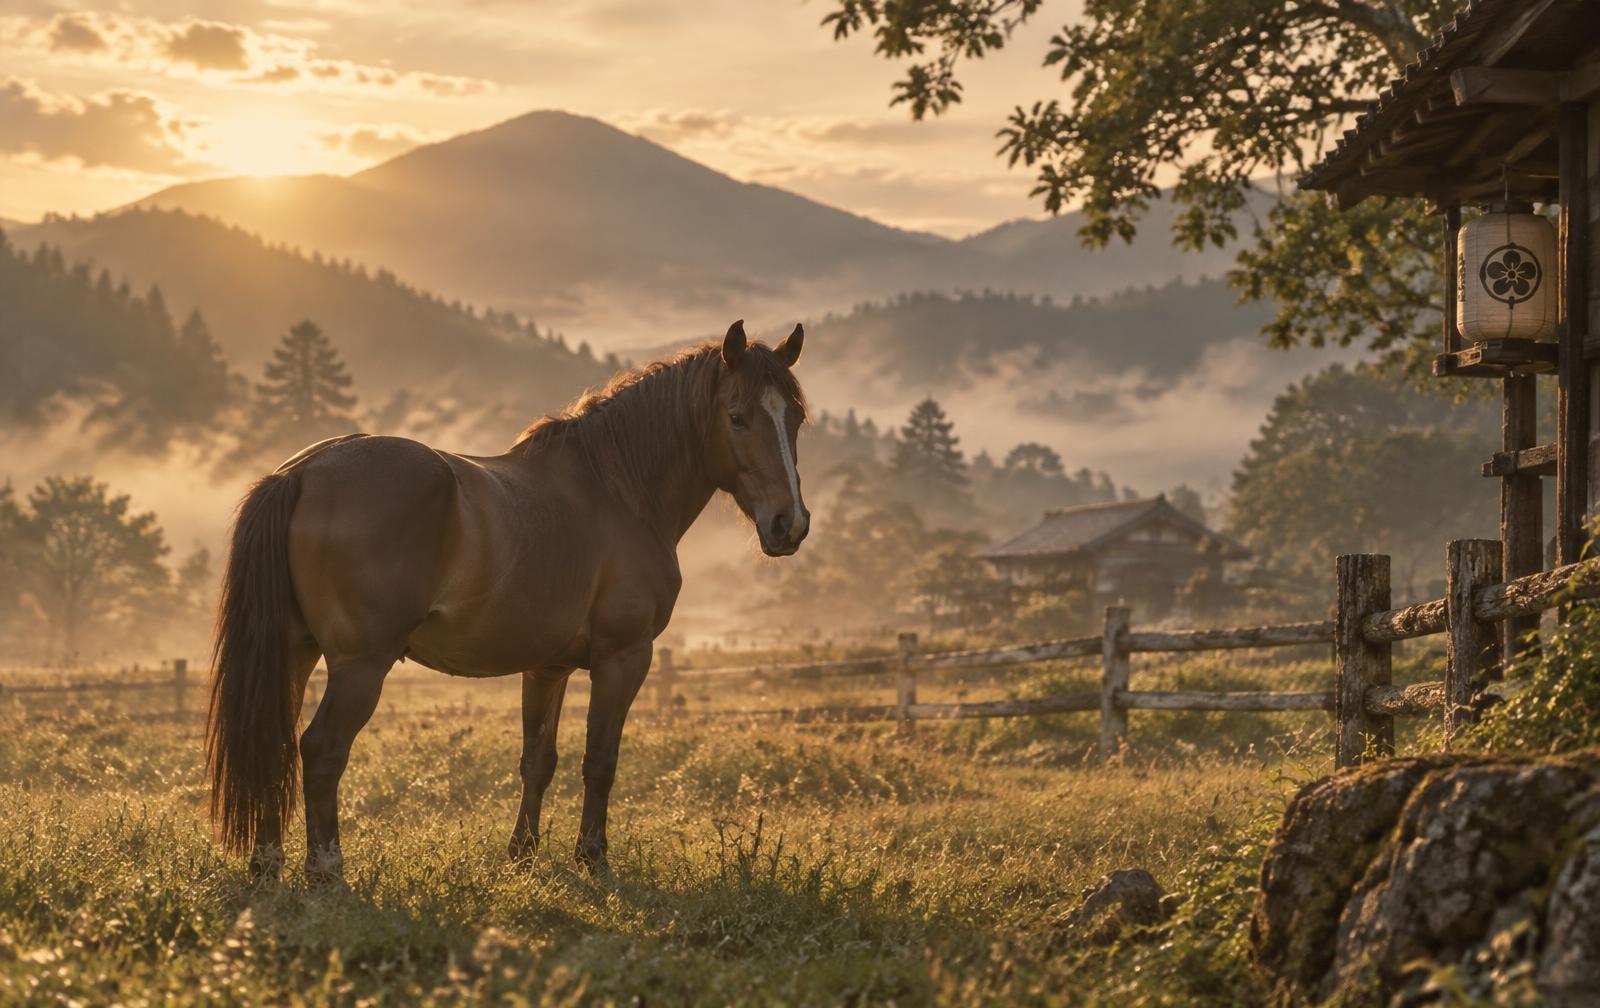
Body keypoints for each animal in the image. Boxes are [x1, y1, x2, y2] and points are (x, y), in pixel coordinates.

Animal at [207, 320, 809, 882]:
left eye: (796, 420)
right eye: (737, 417)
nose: (790, 524)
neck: (618, 490)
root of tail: (302, 472)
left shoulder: (547, 667)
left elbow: (538, 760)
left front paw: (522, 854)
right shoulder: (624, 657)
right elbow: (600, 760)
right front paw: (593, 858)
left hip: (294, 653)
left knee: (275, 745)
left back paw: (266, 865)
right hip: (360, 666)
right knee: (322, 750)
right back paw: (326, 870)